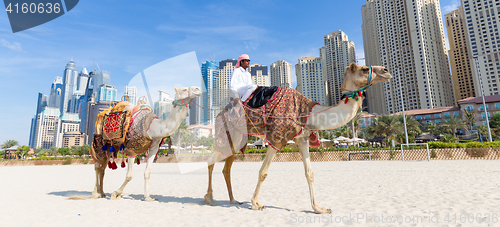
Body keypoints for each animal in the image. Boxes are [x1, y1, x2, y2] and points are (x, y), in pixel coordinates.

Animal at [203, 63, 390, 214]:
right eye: (364, 69)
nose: (386, 71)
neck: (307, 113)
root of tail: (220, 113)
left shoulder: (303, 138)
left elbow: (309, 173)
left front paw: (319, 208)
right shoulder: (277, 138)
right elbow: (263, 172)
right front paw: (256, 204)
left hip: (237, 139)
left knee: (226, 167)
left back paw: (233, 200)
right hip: (229, 134)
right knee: (211, 160)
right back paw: (209, 198)